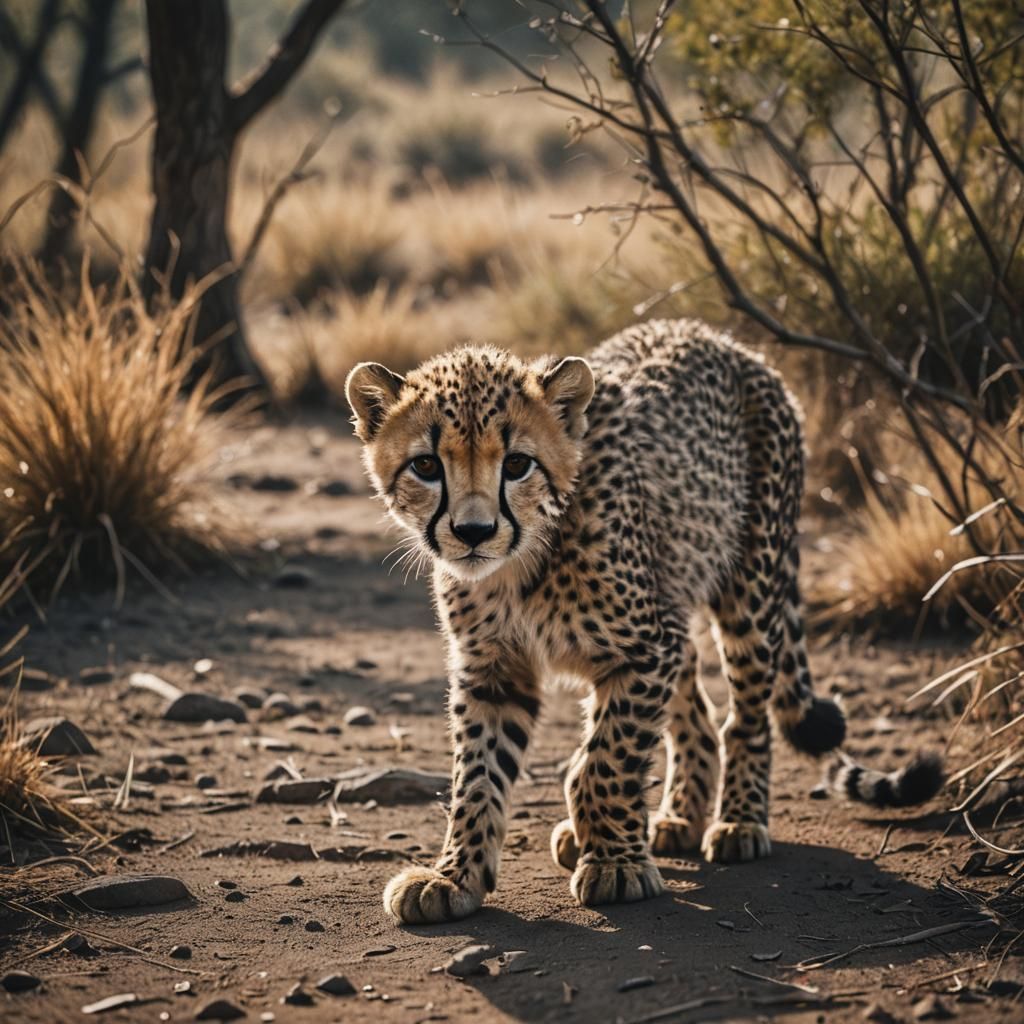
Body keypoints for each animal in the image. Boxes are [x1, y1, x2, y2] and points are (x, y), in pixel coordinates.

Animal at [345, 317, 943, 925]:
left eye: (517, 464)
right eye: (426, 465)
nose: (473, 532)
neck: (521, 562)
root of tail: (718, 337)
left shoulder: (643, 650)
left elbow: (606, 760)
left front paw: (615, 863)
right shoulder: (495, 670)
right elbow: (478, 775)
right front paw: (454, 875)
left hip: (751, 587)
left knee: (745, 716)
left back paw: (738, 821)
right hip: (678, 602)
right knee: (697, 715)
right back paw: (674, 818)